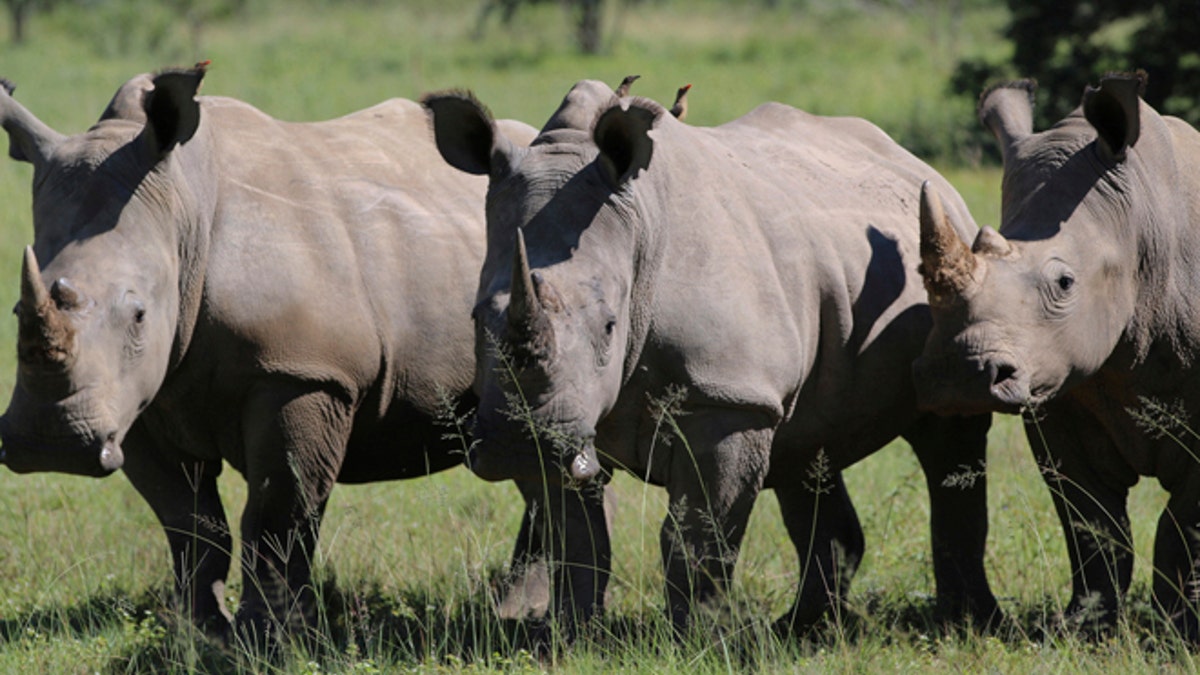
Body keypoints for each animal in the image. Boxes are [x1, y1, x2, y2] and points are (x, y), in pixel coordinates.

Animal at [0, 64, 547, 643]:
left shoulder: (302, 373)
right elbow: (188, 520)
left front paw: (271, 637)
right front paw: (201, 633)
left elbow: (276, 514)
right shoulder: (135, 399)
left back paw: (515, 613)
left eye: (140, 314)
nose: (51, 444)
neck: (183, 211)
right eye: (15, 310)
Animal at [424, 80, 999, 634]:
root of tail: (920, 167)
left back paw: (966, 623)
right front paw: (567, 636)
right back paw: (803, 628)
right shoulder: (561, 419)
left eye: (609, 325)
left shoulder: (726, 399)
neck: (639, 228)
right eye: (475, 319)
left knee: (950, 435)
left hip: (951, 273)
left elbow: (697, 533)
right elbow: (577, 539)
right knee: (807, 444)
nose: (517, 446)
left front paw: (698, 638)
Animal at [914, 72, 1200, 639]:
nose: (960, 377)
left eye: (1065, 283)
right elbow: (1092, 521)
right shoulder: (1055, 385)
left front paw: (1178, 628)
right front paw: (1086, 627)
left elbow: (1181, 524)